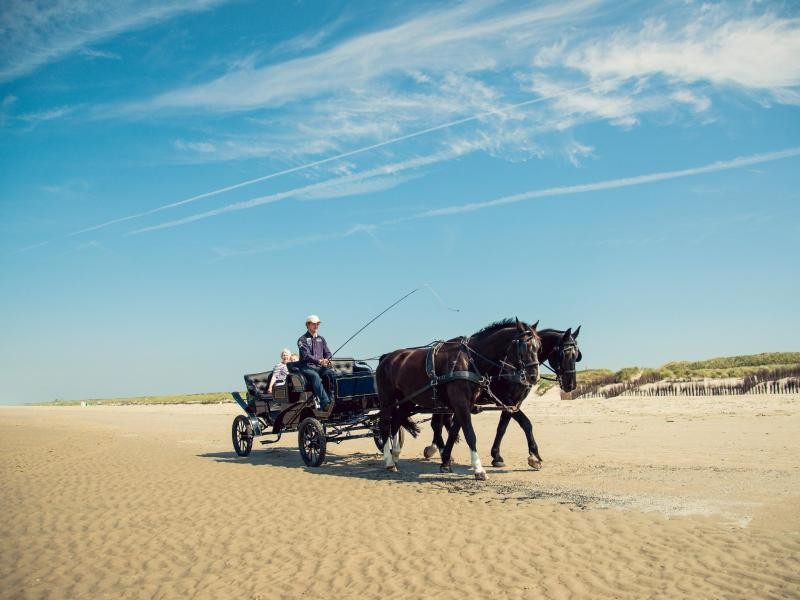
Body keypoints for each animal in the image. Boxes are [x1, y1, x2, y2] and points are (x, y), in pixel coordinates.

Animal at [376, 316, 540, 480]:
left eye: (538, 347)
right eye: (524, 346)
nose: (534, 376)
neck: (469, 360)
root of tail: (386, 357)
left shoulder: (467, 404)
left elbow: (455, 431)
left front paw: (445, 461)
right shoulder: (461, 403)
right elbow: (470, 434)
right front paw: (478, 469)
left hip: (408, 400)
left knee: (397, 421)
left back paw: (395, 454)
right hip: (386, 399)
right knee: (384, 425)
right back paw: (389, 461)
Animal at [424, 326, 580, 472]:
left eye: (577, 355)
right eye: (563, 354)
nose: (571, 385)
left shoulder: (514, 403)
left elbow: (502, 428)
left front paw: (496, 456)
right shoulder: (505, 399)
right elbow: (526, 423)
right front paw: (534, 456)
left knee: (442, 422)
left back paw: (439, 449)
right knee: (437, 423)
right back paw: (439, 450)